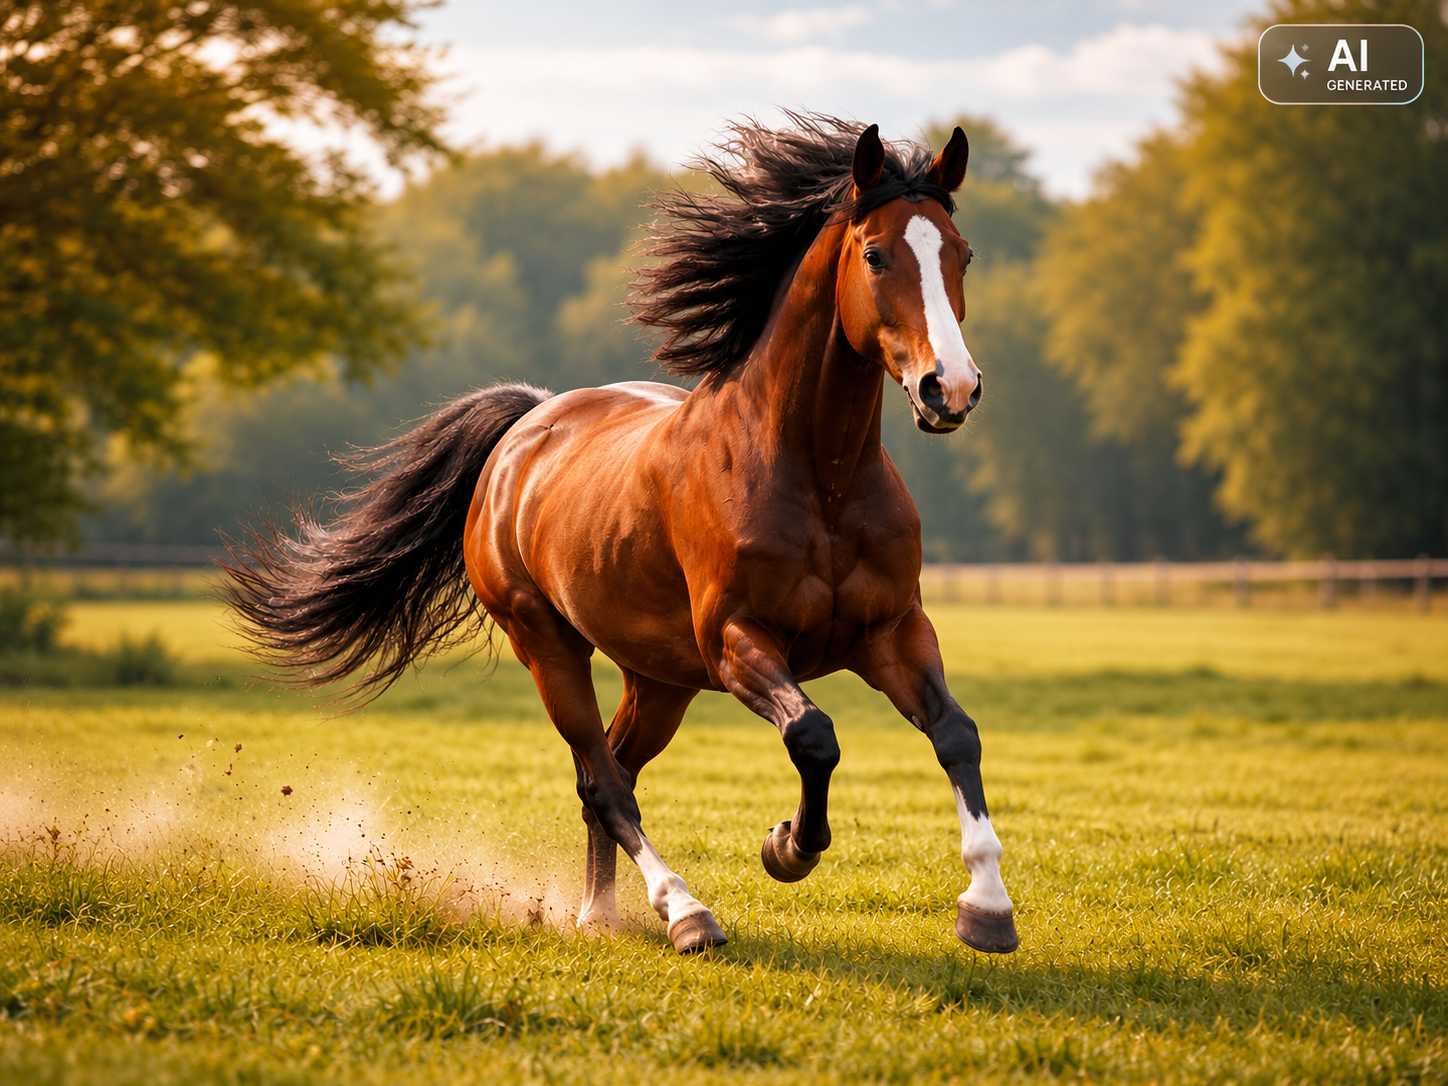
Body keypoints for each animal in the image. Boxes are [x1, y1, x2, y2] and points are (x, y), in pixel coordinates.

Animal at [223, 113, 1017, 956]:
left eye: (962, 253)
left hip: (660, 678)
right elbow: (814, 733)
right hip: (548, 645)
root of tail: (527, 426)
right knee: (600, 778)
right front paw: (787, 848)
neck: (819, 477)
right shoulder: (737, 640)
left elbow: (957, 734)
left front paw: (988, 906)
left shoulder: (890, 630)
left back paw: (600, 913)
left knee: (617, 770)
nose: (950, 388)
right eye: (875, 254)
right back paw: (683, 911)